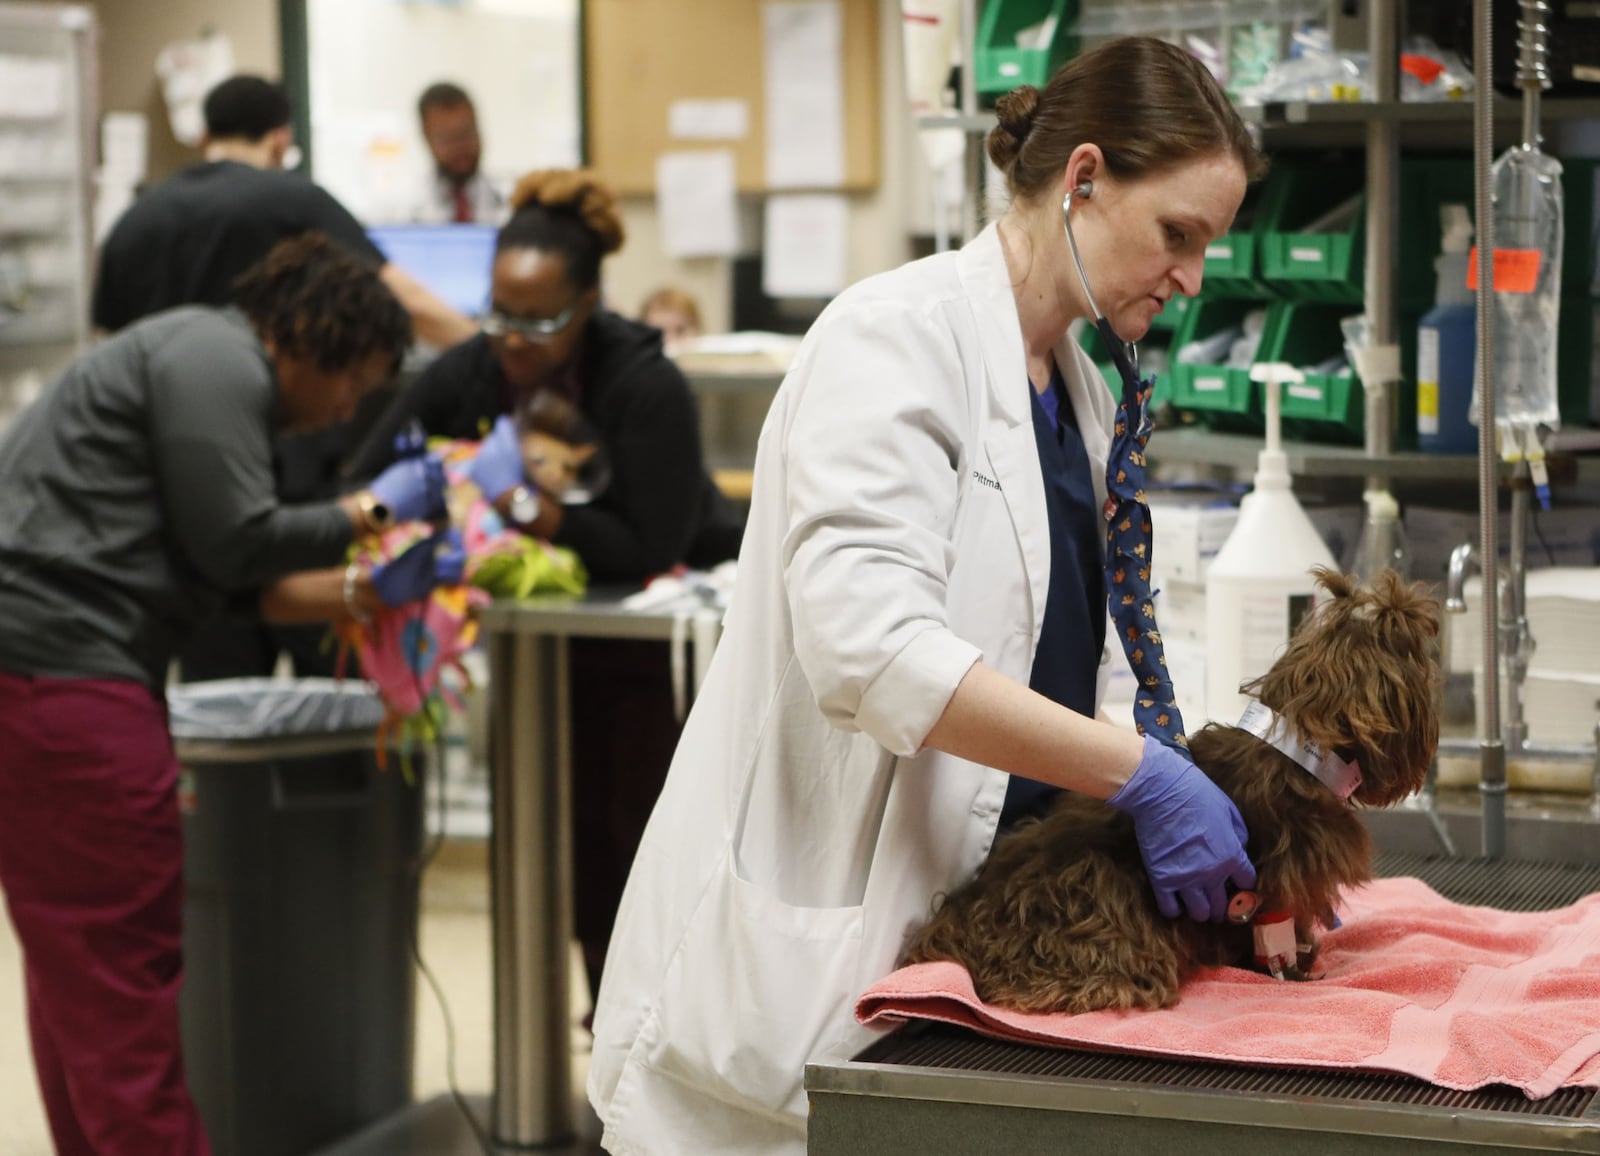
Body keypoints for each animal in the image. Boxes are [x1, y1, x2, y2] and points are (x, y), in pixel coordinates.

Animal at [908, 566, 1446, 1011]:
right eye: (1406, 636)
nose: (1427, 610)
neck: (1302, 749)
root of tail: (957, 927)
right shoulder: (1278, 887)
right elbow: (1278, 937)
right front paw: (1296, 972)